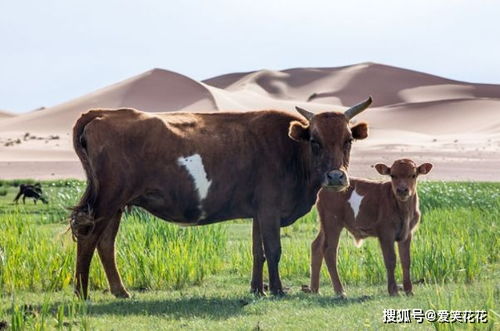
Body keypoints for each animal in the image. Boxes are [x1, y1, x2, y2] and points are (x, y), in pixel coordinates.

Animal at [69, 97, 372, 300]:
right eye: (315, 141)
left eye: (348, 140)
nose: (336, 177)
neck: (291, 150)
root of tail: (104, 113)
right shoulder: (270, 209)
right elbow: (274, 250)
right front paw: (276, 290)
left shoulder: (258, 212)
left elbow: (258, 251)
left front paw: (257, 289)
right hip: (107, 200)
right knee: (89, 237)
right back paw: (82, 292)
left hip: (116, 204)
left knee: (106, 243)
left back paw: (120, 291)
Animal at [306, 160, 432, 296]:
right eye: (393, 175)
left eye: (413, 175)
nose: (402, 190)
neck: (404, 209)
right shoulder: (386, 232)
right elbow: (390, 260)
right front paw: (393, 290)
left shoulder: (407, 233)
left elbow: (406, 260)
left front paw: (409, 290)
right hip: (332, 222)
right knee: (330, 251)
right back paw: (340, 290)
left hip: (325, 224)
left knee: (317, 246)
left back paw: (314, 289)